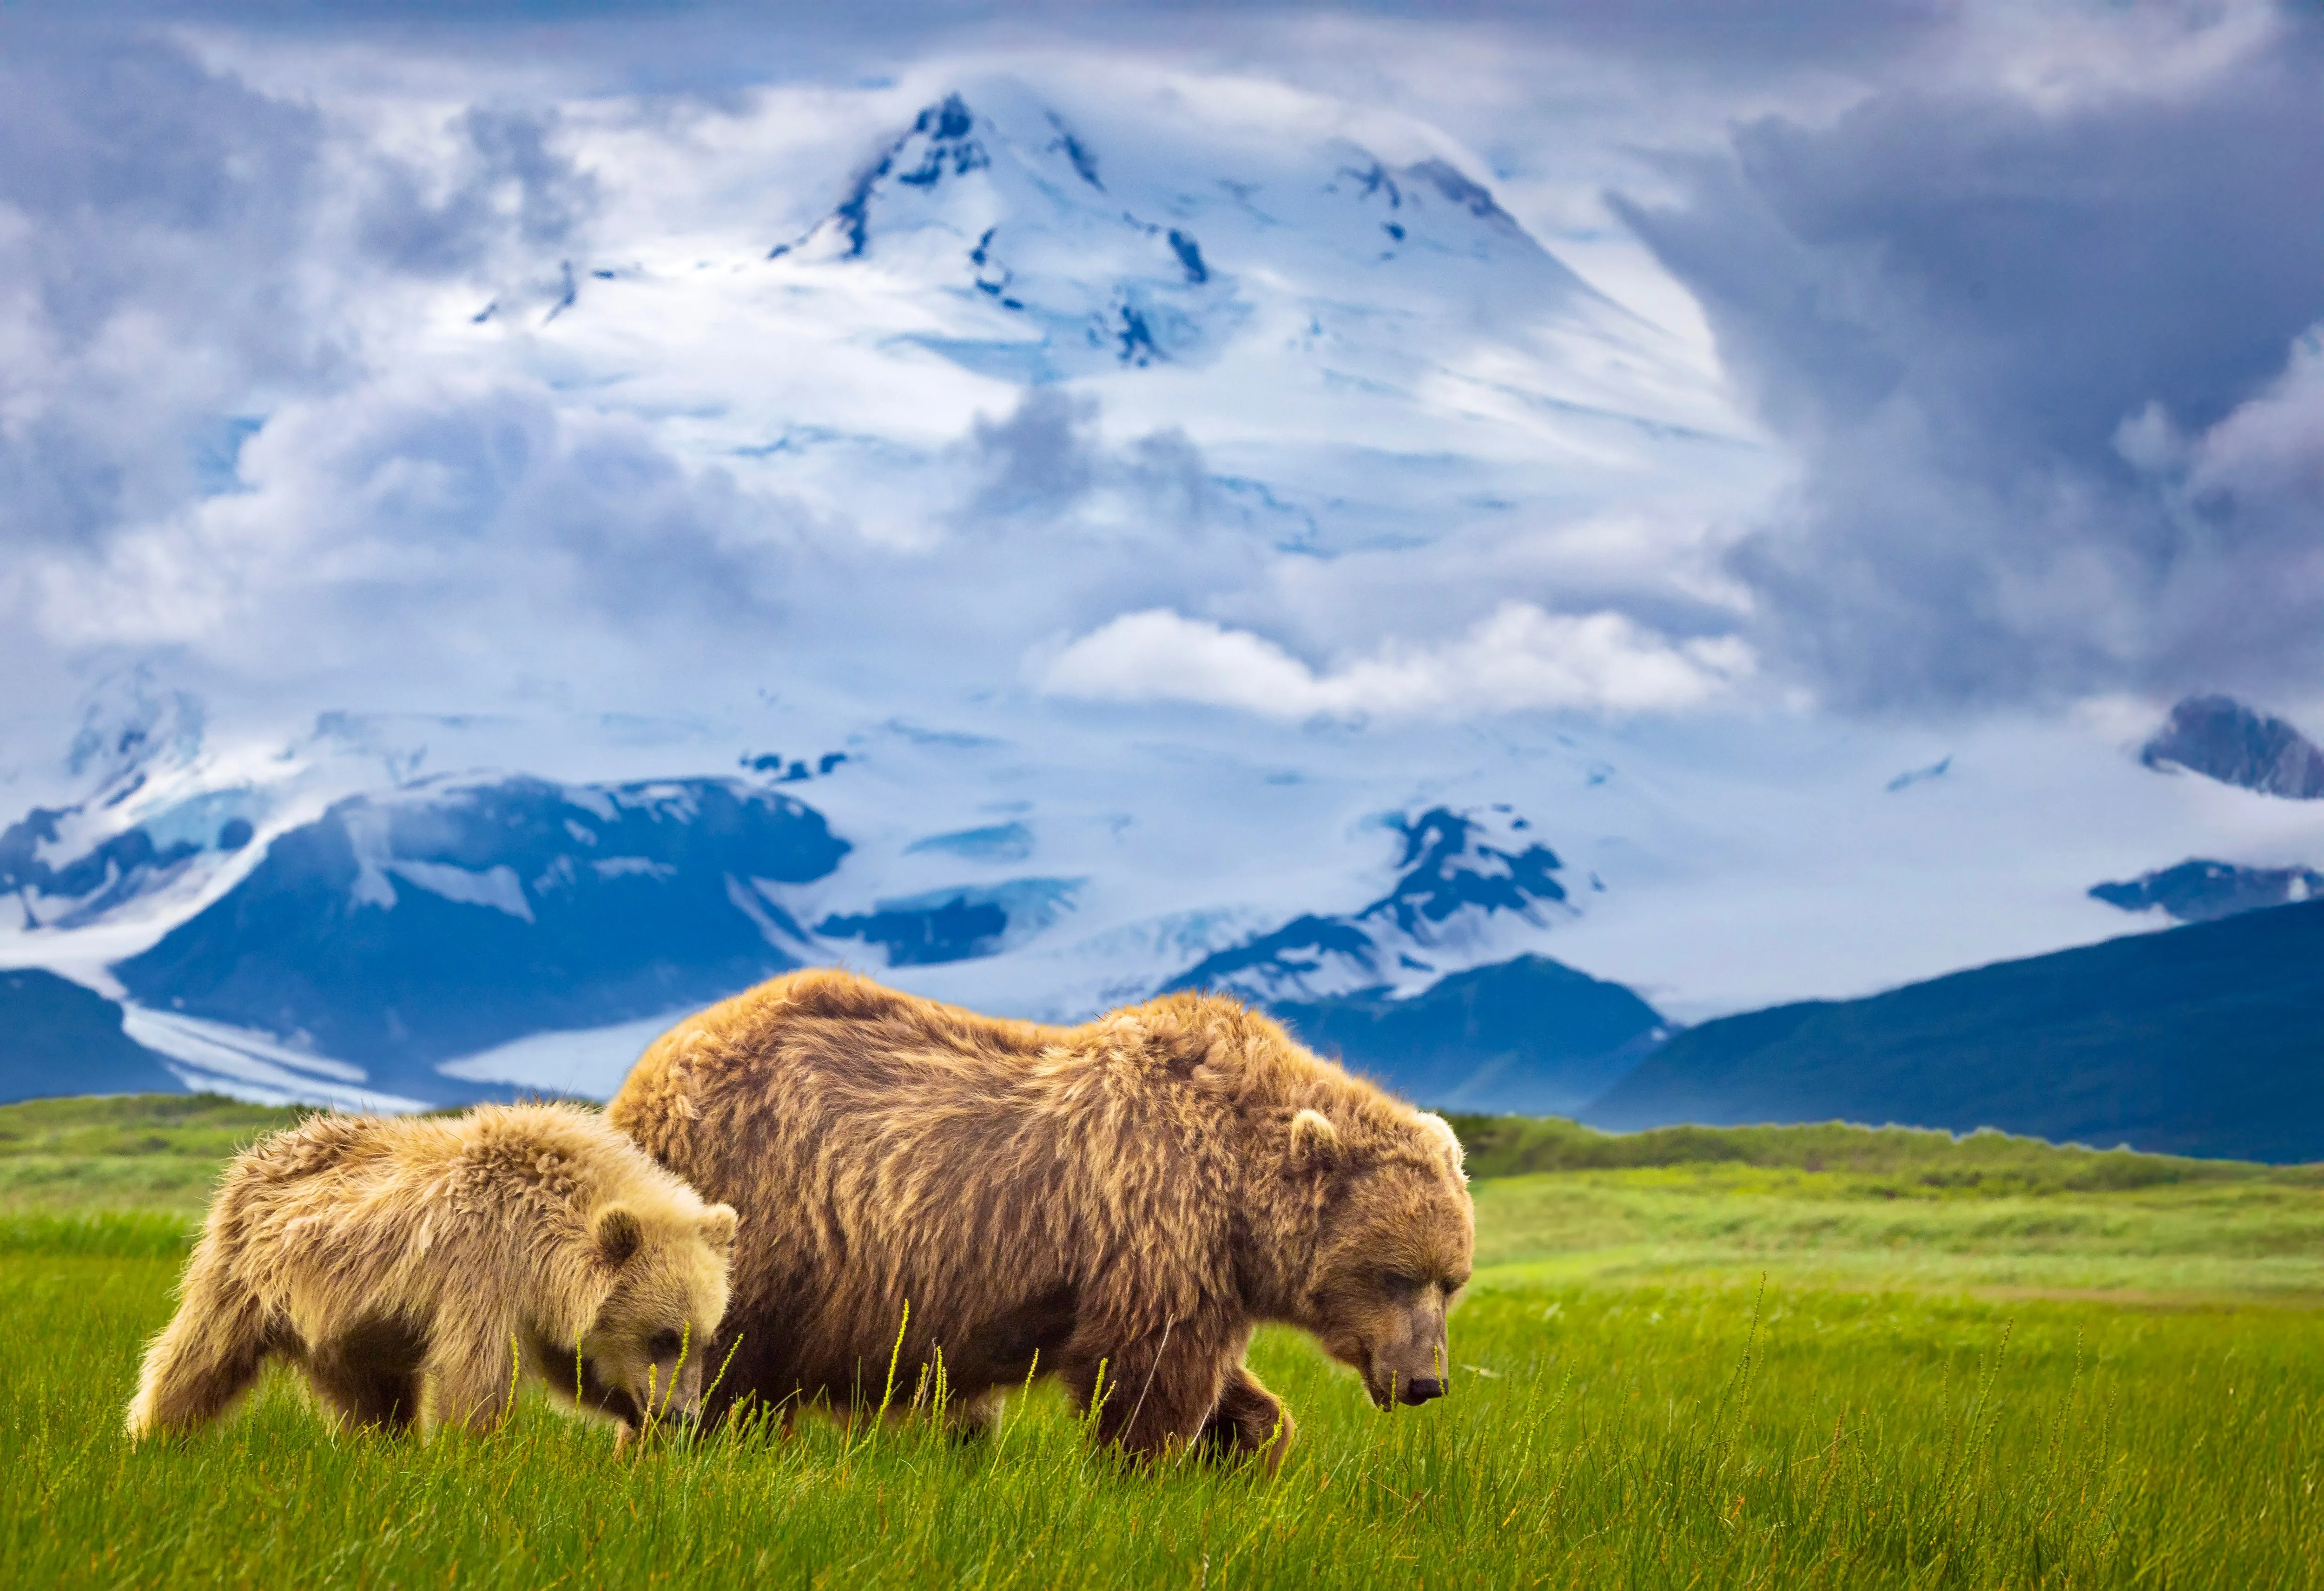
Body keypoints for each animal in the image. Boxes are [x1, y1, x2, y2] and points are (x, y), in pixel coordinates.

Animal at [126, 1102, 739, 1445]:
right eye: (662, 1336)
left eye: (705, 1338)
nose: (682, 1415)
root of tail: (264, 1150)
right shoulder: (483, 1271)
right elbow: (477, 1377)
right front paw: (477, 1452)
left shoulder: (545, 1308)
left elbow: (575, 1370)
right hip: (245, 1271)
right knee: (199, 1356)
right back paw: (152, 1437)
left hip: (349, 1331)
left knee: (374, 1402)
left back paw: (384, 1450)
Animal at [606, 969, 1473, 1469]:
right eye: (1394, 1273)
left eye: (1452, 1280)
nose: (1427, 1380)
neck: (1238, 1197)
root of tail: (643, 1081)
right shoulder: (1154, 1219)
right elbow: (1148, 1381)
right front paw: (1143, 1471)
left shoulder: (1199, 1269)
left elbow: (1213, 1380)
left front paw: (1251, 1442)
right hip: (759, 1214)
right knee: (713, 1361)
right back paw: (682, 1451)